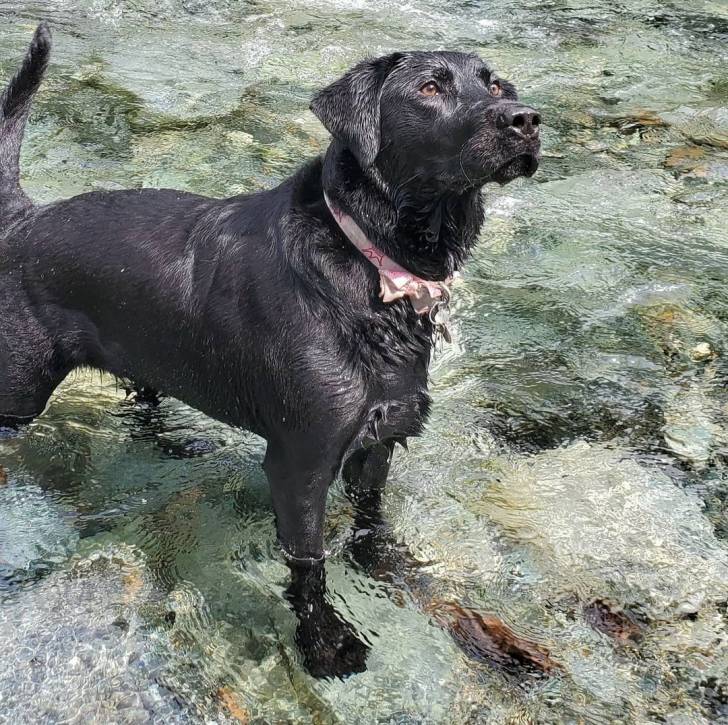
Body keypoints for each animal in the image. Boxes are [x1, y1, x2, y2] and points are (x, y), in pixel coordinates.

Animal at [0, 24, 536, 680]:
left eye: (495, 84)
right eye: (430, 88)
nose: (526, 118)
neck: (371, 265)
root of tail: (23, 220)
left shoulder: (379, 439)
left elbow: (370, 522)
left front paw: (387, 571)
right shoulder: (299, 464)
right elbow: (309, 564)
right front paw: (324, 640)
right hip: (19, 389)